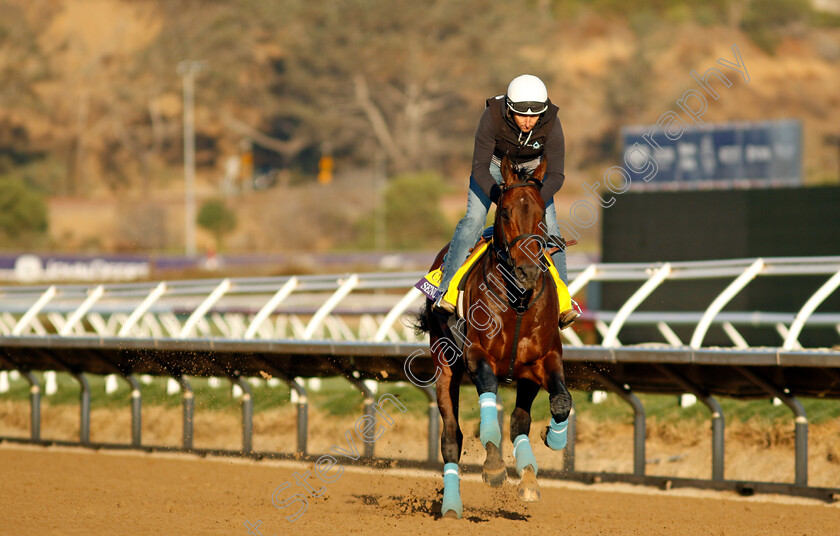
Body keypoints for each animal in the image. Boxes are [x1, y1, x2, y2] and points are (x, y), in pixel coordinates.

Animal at [416, 156, 576, 520]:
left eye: (541, 214)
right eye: (504, 212)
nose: (528, 271)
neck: (518, 302)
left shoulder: (543, 360)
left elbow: (559, 402)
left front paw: (552, 441)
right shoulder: (478, 356)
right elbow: (487, 400)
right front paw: (492, 467)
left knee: (518, 421)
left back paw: (528, 475)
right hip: (444, 364)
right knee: (451, 436)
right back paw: (451, 506)